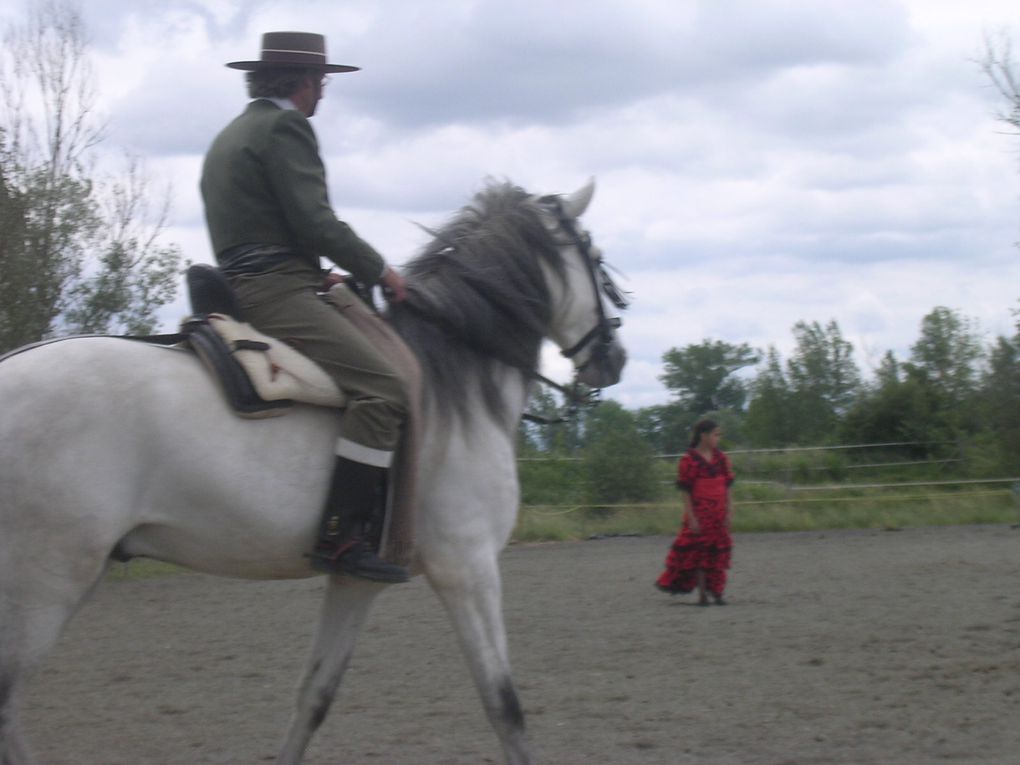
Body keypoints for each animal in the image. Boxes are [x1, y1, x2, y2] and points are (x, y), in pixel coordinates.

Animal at [0, 181, 628, 765]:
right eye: (596, 258)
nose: (616, 358)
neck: (456, 378)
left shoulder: (357, 579)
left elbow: (314, 696)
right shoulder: (468, 568)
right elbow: (504, 705)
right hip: (44, 585)